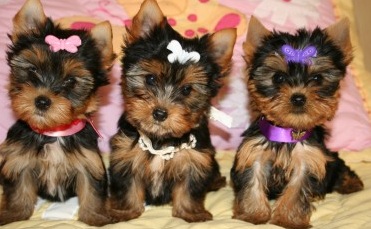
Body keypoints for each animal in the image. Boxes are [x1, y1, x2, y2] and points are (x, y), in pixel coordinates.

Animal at [0, 0, 116, 225]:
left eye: (71, 80)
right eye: (33, 70)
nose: (42, 101)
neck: (53, 132)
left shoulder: (88, 162)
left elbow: (92, 191)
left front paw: (96, 217)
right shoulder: (19, 159)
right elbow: (19, 189)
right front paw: (14, 214)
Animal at [108, 0, 235, 224]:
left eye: (187, 90)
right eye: (150, 79)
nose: (160, 113)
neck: (161, 140)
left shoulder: (195, 160)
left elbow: (189, 189)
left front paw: (192, 213)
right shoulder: (125, 155)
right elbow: (128, 186)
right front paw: (124, 211)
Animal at [231, 16, 364, 229]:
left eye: (317, 78)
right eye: (278, 77)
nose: (298, 97)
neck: (287, 132)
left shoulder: (310, 159)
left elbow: (296, 191)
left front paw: (288, 220)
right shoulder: (253, 154)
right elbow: (252, 184)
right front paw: (252, 215)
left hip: (329, 157)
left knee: (339, 165)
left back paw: (351, 183)